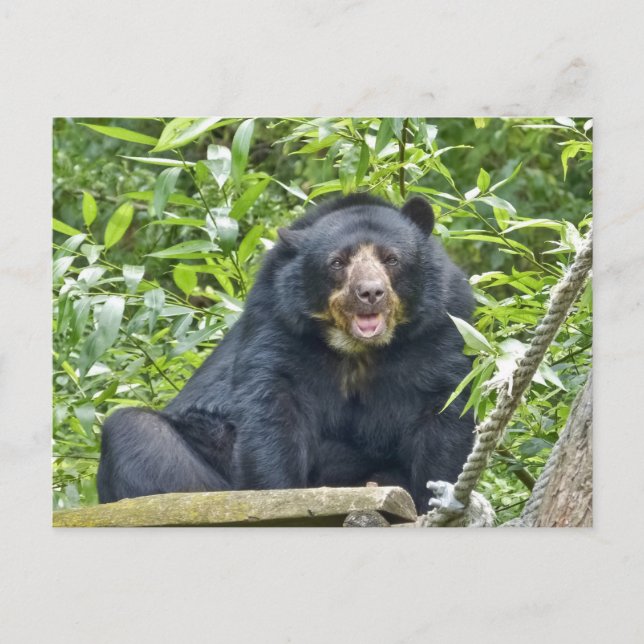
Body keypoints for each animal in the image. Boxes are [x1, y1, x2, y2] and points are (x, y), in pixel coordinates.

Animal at [97, 194, 476, 514]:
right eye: (337, 262)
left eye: (392, 258)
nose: (370, 292)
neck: (358, 349)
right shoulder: (277, 320)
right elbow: (274, 410)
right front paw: (278, 495)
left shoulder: (442, 325)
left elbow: (444, 410)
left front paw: (435, 500)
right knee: (135, 431)